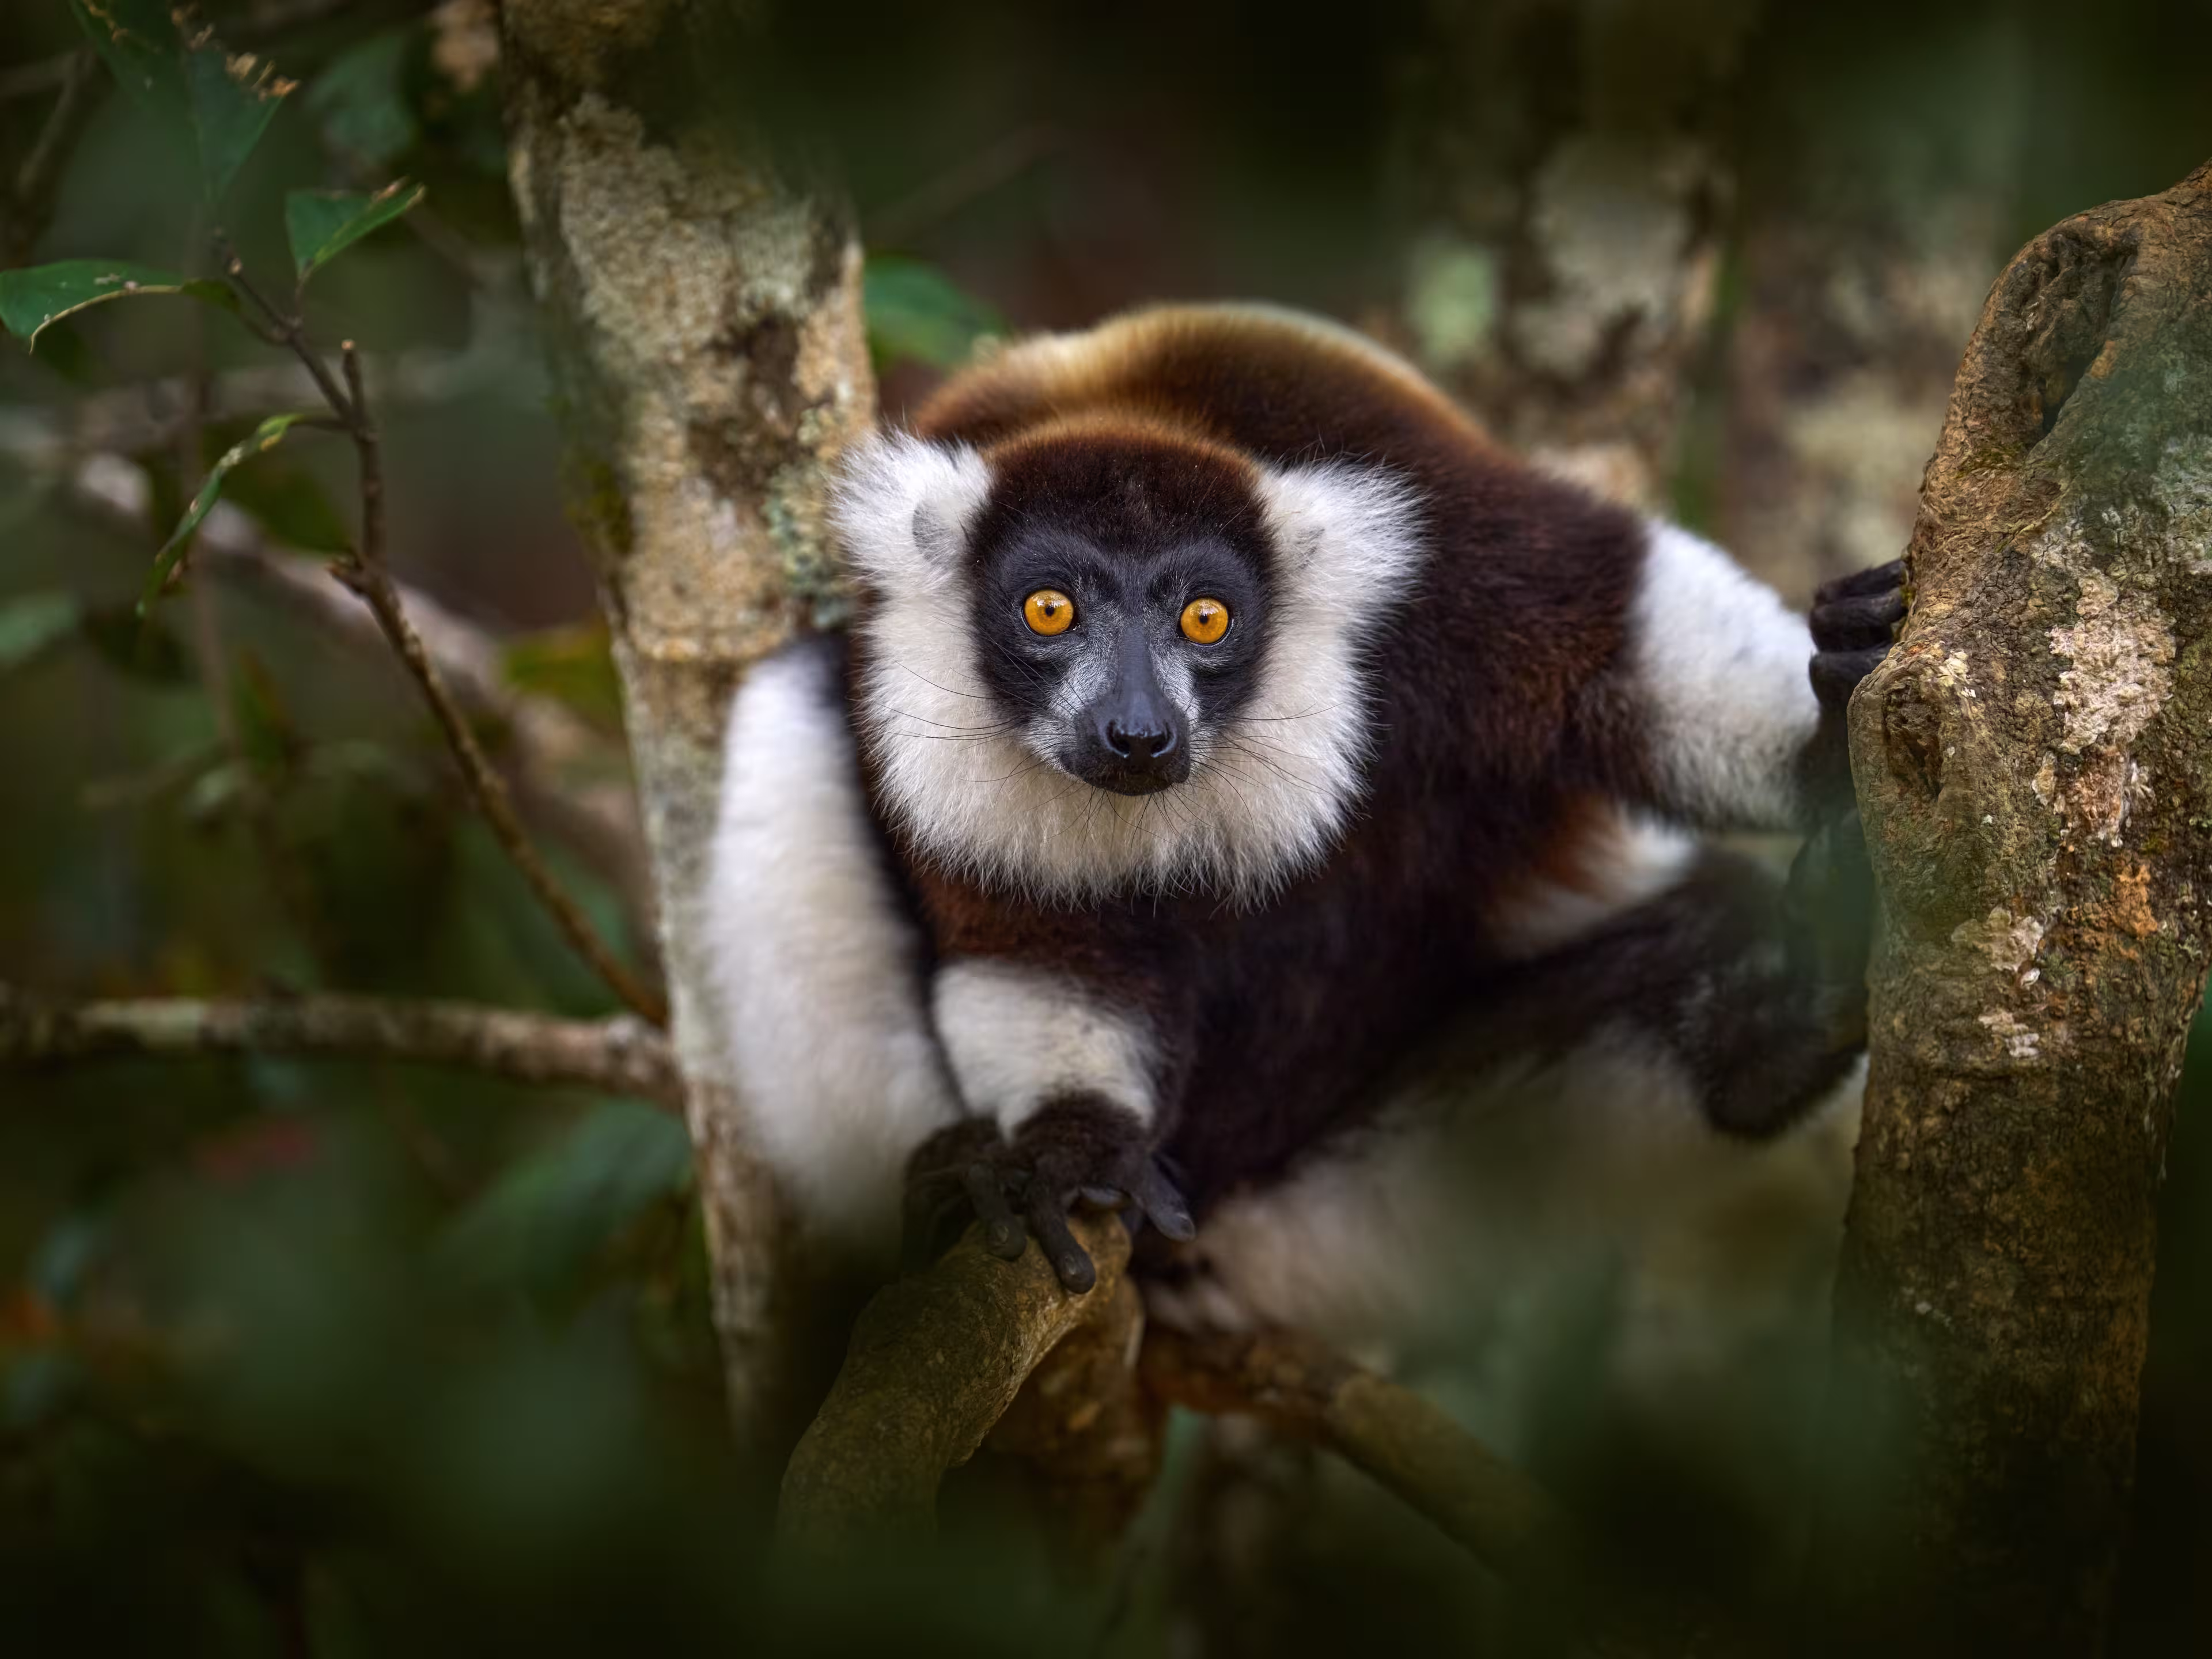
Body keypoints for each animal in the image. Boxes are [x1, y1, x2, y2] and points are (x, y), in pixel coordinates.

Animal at [707, 302, 1901, 1373]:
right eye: (1049, 611)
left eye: (1206, 619)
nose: (1135, 733)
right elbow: (1042, 943)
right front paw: (1068, 1145)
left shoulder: (1443, 533)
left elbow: (1621, 634)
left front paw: (1836, 722)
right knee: (786, 705)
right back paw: (942, 1185)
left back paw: (1777, 1009)